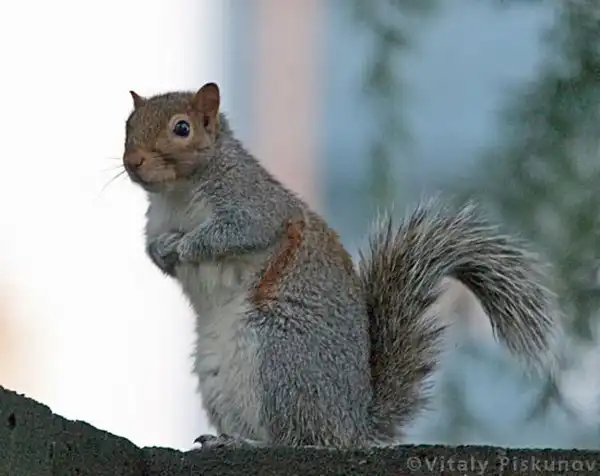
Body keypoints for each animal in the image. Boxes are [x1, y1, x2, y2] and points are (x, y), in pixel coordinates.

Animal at [122, 82, 560, 449]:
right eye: (128, 124)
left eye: (182, 128)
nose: (133, 161)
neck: (178, 193)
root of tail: (349, 427)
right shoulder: (157, 220)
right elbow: (153, 251)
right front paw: (163, 250)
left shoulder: (254, 205)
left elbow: (235, 232)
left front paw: (186, 245)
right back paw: (226, 438)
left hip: (280, 356)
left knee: (296, 439)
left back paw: (248, 443)